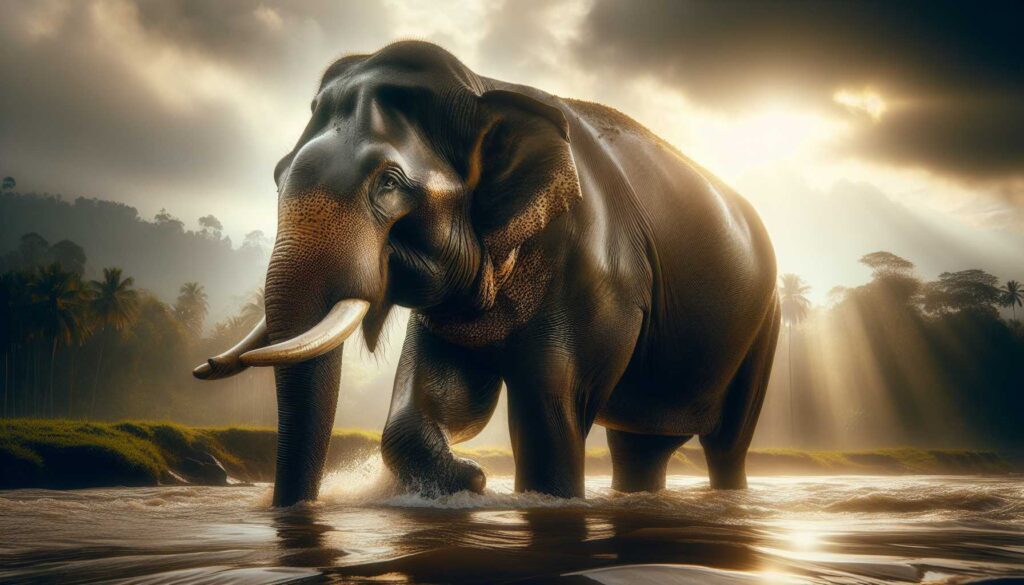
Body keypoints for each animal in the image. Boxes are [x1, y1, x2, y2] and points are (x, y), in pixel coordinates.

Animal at [194, 41, 780, 507]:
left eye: (388, 183)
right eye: (277, 174)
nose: (204, 366)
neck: (483, 87)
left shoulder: (599, 277)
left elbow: (550, 405)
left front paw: (524, 495)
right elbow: (439, 396)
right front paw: (466, 480)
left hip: (764, 327)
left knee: (727, 443)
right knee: (640, 448)